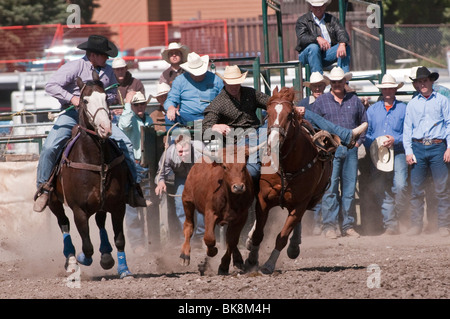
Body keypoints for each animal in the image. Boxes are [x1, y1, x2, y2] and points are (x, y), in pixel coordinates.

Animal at [47, 72, 133, 280]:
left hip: (102, 203)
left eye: (105, 98)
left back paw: (106, 254)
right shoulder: (79, 210)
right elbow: (86, 247)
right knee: (64, 223)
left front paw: (123, 269)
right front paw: (80, 259)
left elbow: (119, 239)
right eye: (85, 100)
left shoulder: (118, 205)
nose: (105, 128)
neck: (95, 158)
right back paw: (71, 261)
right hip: (53, 201)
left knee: (100, 221)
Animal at [244, 87, 332, 276]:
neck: (286, 166)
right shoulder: (263, 199)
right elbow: (259, 233)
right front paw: (251, 259)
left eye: (290, 114)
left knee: (296, 224)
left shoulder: (300, 204)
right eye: (268, 112)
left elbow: (282, 236)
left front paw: (269, 264)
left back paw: (293, 247)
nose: (273, 142)